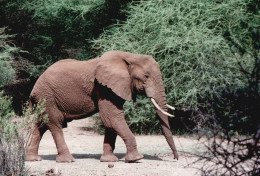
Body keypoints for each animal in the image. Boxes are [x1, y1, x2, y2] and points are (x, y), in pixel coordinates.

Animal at [25, 50, 178, 163]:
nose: (175, 158)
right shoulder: (104, 88)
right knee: (55, 123)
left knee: (41, 125)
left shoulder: (114, 88)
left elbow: (111, 121)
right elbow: (112, 117)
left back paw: (33, 159)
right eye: (146, 76)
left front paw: (109, 160)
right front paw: (136, 159)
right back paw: (67, 160)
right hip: (47, 96)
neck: (130, 56)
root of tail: (34, 88)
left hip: (44, 99)